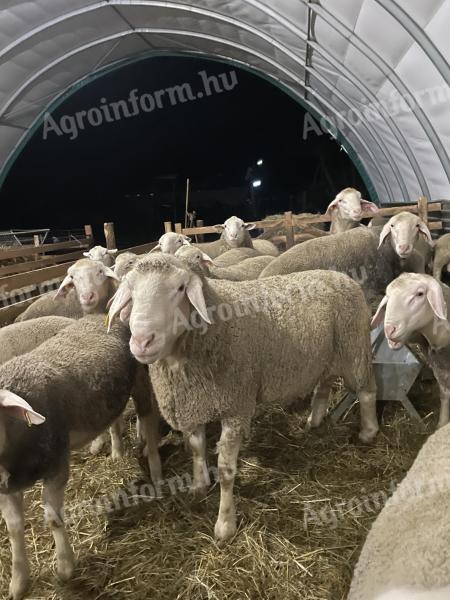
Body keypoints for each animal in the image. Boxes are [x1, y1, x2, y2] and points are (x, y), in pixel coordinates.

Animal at [0, 316, 162, 596]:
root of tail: (102, 317)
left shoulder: (57, 466)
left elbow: (53, 520)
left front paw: (65, 568)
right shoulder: (7, 488)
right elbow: (13, 529)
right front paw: (19, 582)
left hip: (141, 380)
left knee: (149, 424)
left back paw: (156, 471)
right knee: (114, 419)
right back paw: (117, 451)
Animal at [109, 254, 380, 544]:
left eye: (180, 288)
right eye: (130, 289)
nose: (142, 341)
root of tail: (342, 277)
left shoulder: (236, 408)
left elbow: (226, 470)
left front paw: (225, 525)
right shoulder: (195, 404)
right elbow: (197, 450)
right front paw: (198, 486)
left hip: (354, 348)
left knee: (366, 391)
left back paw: (368, 432)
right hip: (326, 356)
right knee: (324, 385)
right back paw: (314, 420)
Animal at [370, 272, 450, 426]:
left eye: (420, 294)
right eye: (388, 296)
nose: (389, 330)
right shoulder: (439, 367)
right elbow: (445, 394)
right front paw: (442, 424)